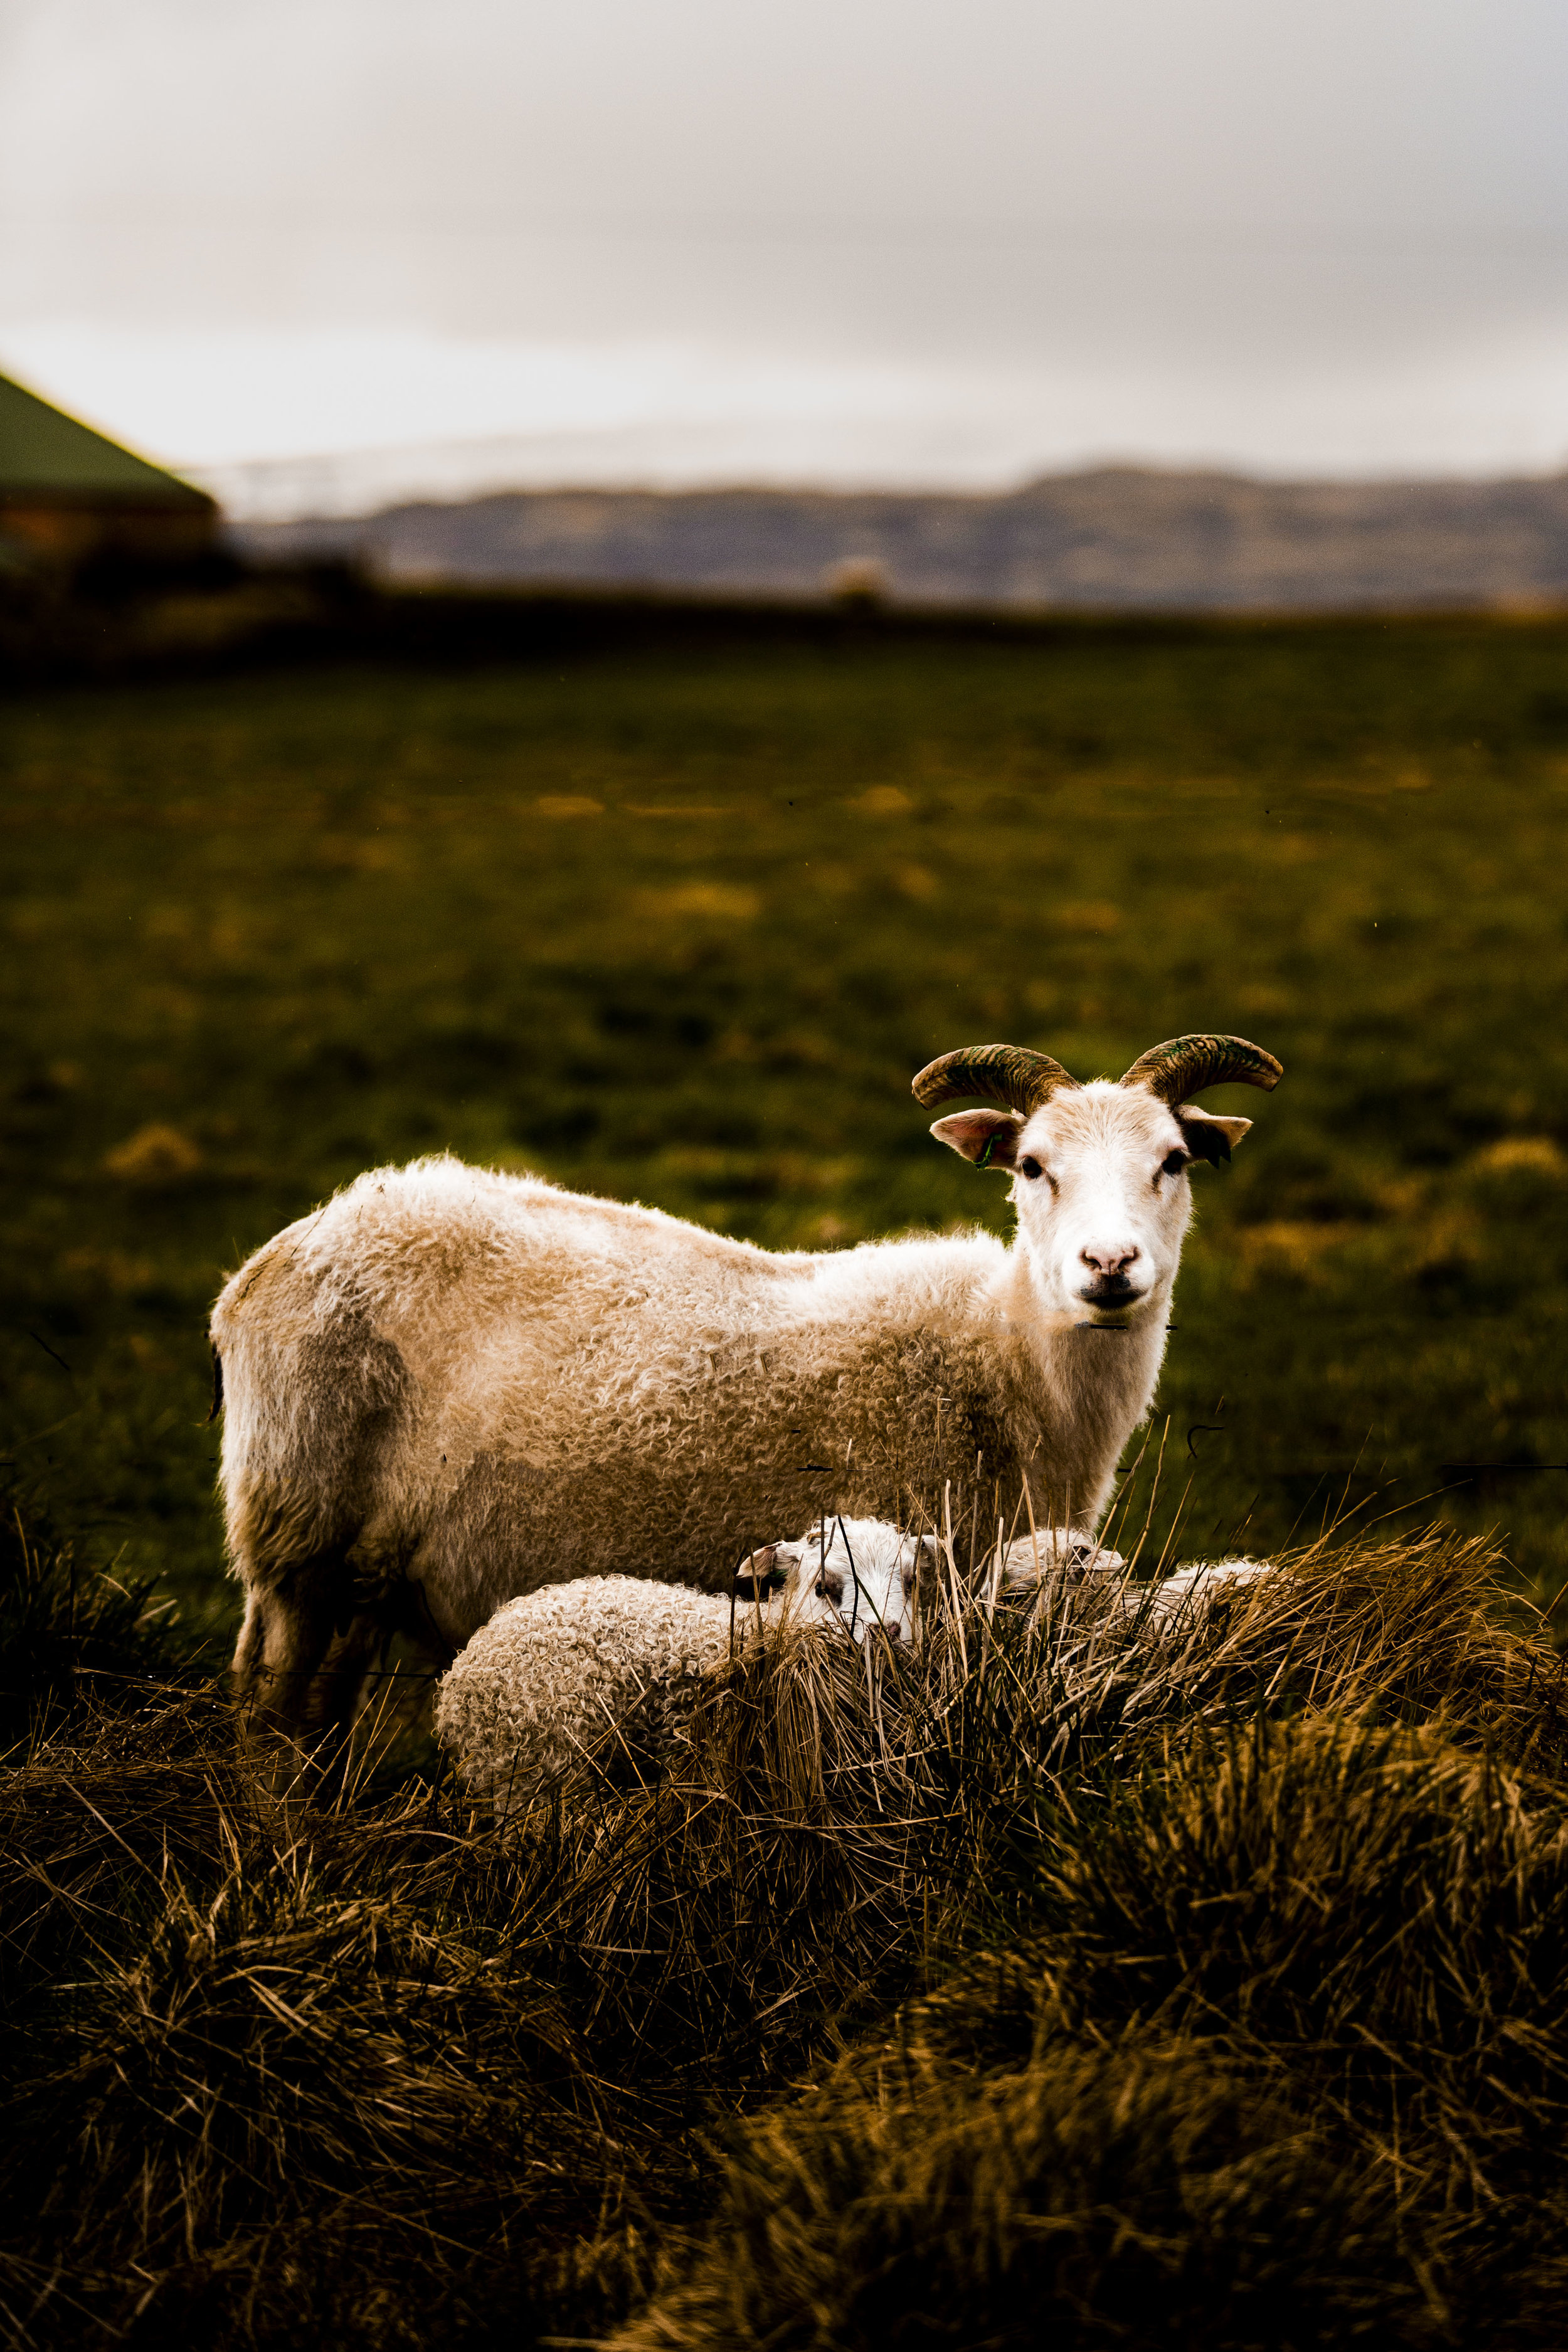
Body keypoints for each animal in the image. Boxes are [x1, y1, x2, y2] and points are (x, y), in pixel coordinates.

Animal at [215, 1030, 1278, 1750]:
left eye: (1173, 1160)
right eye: (1031, 1165)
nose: (1110, 1266)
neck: (1010, 1358)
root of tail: (277, 1255)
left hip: (358, 1575)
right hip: (302, 1540)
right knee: (271, 1716)